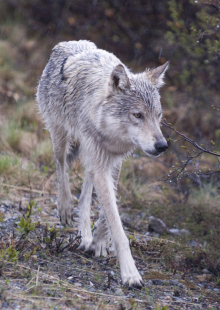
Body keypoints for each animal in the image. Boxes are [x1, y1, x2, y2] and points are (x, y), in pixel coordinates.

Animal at [37, 39, 169, 288]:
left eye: (158, 116)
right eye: (138, 115)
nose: (162, 146)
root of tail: (66, 43)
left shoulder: (114, 161)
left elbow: (106, 215)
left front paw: (98, 242)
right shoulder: (101, 163)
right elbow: (117, 226)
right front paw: (130, 273)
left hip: (92, 157)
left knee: (85, 193)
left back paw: (86, 235)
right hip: (60, 139)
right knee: (61, 168)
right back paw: (65, 207)